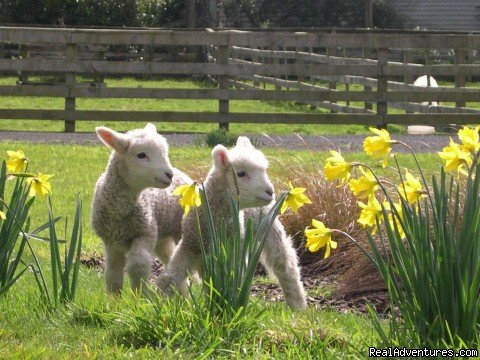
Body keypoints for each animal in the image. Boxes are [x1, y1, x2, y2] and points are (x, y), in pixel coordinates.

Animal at [92, 123, 191, 292]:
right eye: (141, 155)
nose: (169, 175)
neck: (119, 212)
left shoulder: (144, 234)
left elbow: (137, 266)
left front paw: (140, 295)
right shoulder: (110, 241)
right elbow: (112, 274)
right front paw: (114, 298)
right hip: (161, 237)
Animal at [158, 138, 308, 310]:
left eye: (264, 170)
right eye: (241, 173)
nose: (270, 191)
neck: (216, 221)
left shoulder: (233, 251)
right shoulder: (190, 246)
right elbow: (169, 279)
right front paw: (158, 304)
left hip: (269, 228)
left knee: (285, 265)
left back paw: (298, 305)